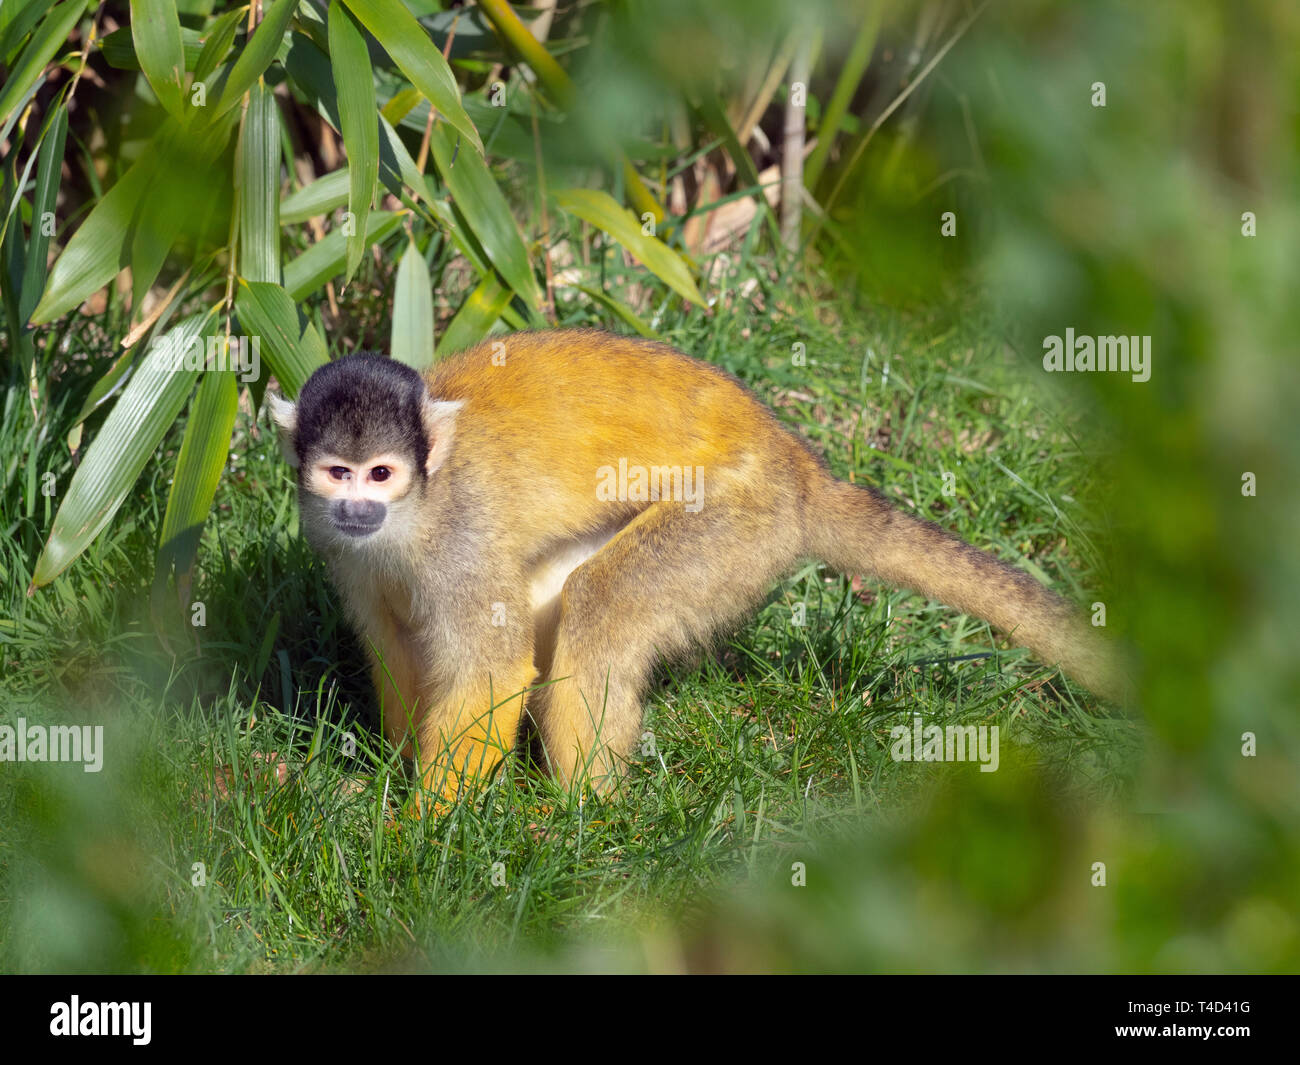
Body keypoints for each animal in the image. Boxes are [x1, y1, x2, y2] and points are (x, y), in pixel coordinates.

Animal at [269, 331, 1123, 806]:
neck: (414, 513)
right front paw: (392, 768)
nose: (358, 507)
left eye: (381, 473)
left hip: (735, 519)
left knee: (602, 606)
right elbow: (395, 645)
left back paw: (581, 811)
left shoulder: (462, 536)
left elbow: (491, 667)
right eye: (338, 474)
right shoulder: (340, 550)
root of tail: (802, 471)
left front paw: (424, 825)